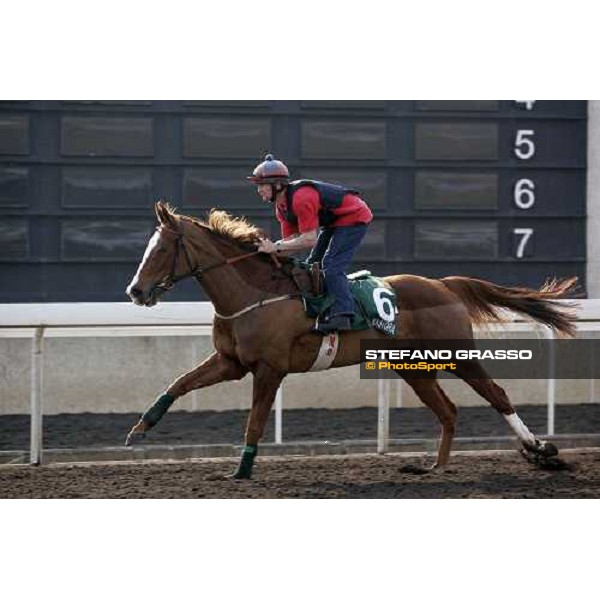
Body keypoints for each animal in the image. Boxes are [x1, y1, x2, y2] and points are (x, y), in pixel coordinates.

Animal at [124, 204, 580, 480]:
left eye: (161, 249)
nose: (135, 291)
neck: (253, 293)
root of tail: (443, 283)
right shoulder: (230, 362)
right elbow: (179, 383)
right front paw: (139, 429)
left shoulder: (269, 369)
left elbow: (255, 420)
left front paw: (242, 470)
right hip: (412, 366)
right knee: (448, 410)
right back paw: (435, 467)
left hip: (455, 353)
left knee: (496, 393)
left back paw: (538, 448)